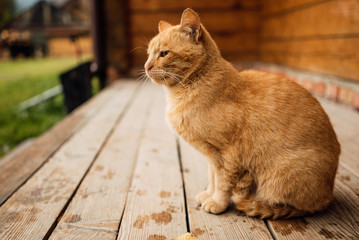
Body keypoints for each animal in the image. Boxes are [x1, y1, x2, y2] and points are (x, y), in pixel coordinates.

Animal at [144, 8, 340, 219]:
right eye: (148, 54)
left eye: (164, 54)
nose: (146, 66)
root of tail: (328, 194)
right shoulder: (211, 155)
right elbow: (212, 178)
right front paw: (208, 194)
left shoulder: (229, 154)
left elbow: (222, 183)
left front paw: (216, 203)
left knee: (297, 207)